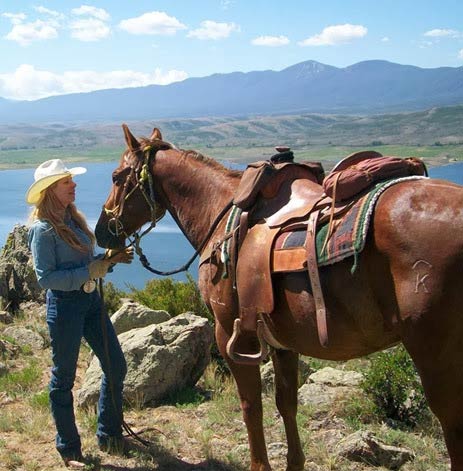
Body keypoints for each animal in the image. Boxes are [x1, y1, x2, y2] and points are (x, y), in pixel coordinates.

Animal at [95, 125, 463, 471]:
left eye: (116, 176)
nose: (100, 230)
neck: (219, 211)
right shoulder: (284, 341)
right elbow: (286, 403)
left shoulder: (230, 334)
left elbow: (251, 407)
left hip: (434, 353)